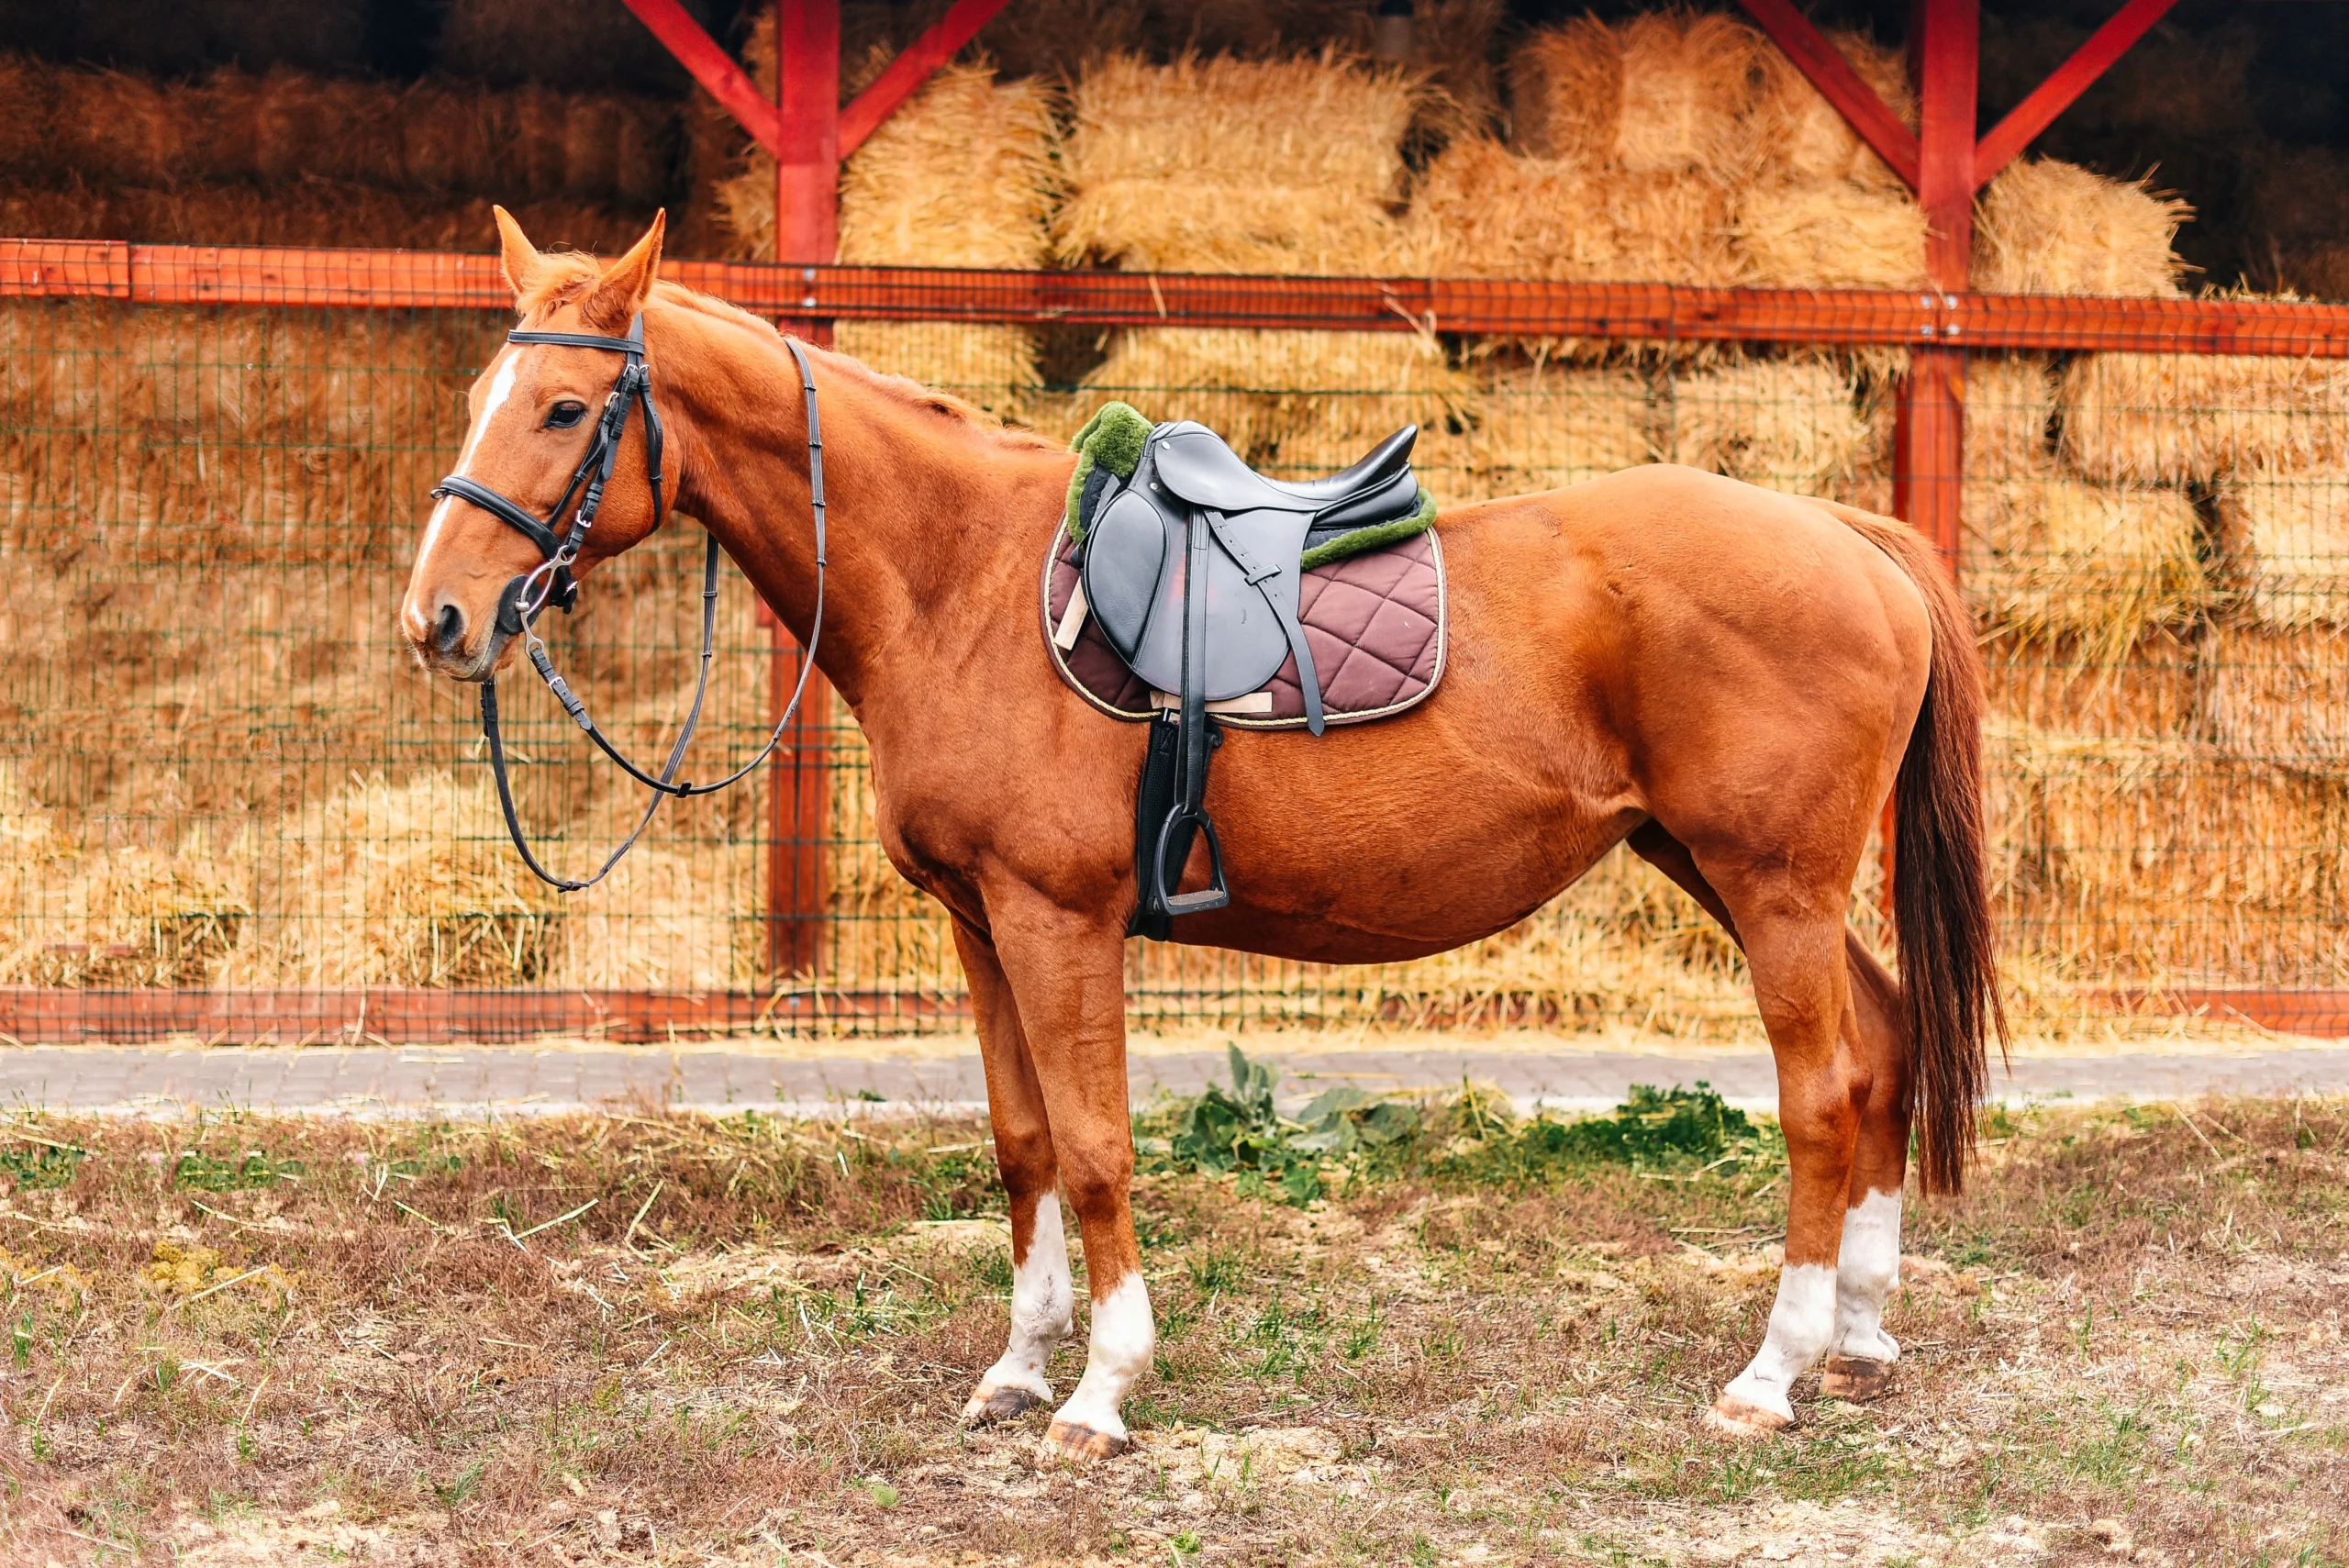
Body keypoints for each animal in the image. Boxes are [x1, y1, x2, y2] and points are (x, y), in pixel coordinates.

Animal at [400, 211, 2003, 1461]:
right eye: (481, 391)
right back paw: (1859, 1338)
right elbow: (1025, 1146)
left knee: (1822, 1096)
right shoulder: (980, 923)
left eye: (562, 411)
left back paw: (1772, 1372)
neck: (961, 579)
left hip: (1773, 887)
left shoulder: (1059, 918)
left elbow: (1099, 1148)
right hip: (1739, 875)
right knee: (1886, 1047)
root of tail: (1853, 537)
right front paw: (1015, 1370)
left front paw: (1100, 1394)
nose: (440, 619)